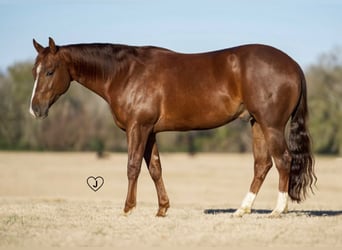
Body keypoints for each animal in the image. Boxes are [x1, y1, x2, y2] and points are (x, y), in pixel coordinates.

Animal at [29, 37, 316, 217]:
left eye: (50, 71)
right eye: (35, 71)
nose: (35, 109)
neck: (125, 73)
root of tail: (293, 65)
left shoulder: (138, 128)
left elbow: (133, 167)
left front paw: (128, 208)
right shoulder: (150, 131)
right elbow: (155, 169)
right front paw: (162, 209)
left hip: (272, 125)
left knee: (283, 160)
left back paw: (278, 210)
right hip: (257, 124)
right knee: (262, 165)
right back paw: (242, 210)